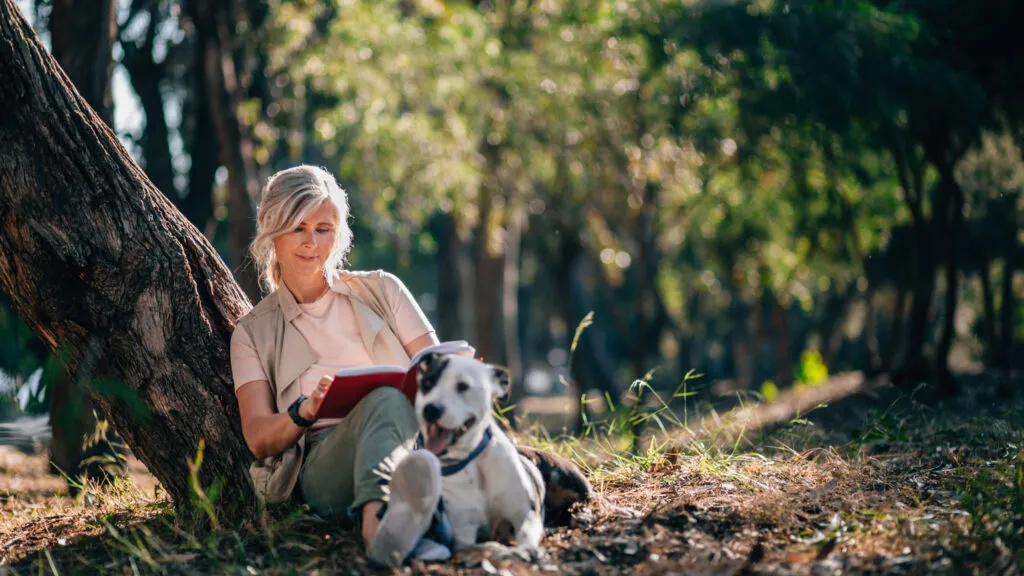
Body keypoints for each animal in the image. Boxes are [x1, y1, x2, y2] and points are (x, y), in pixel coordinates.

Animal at [413, 350, 548, 557]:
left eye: (463, 386)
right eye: (427, 383)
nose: (431, 409)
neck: (472, 460)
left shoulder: (526, 513)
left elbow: (526, 534)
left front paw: (527, 550)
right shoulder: (463, 534)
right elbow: (482, 545)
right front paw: (500, 549)